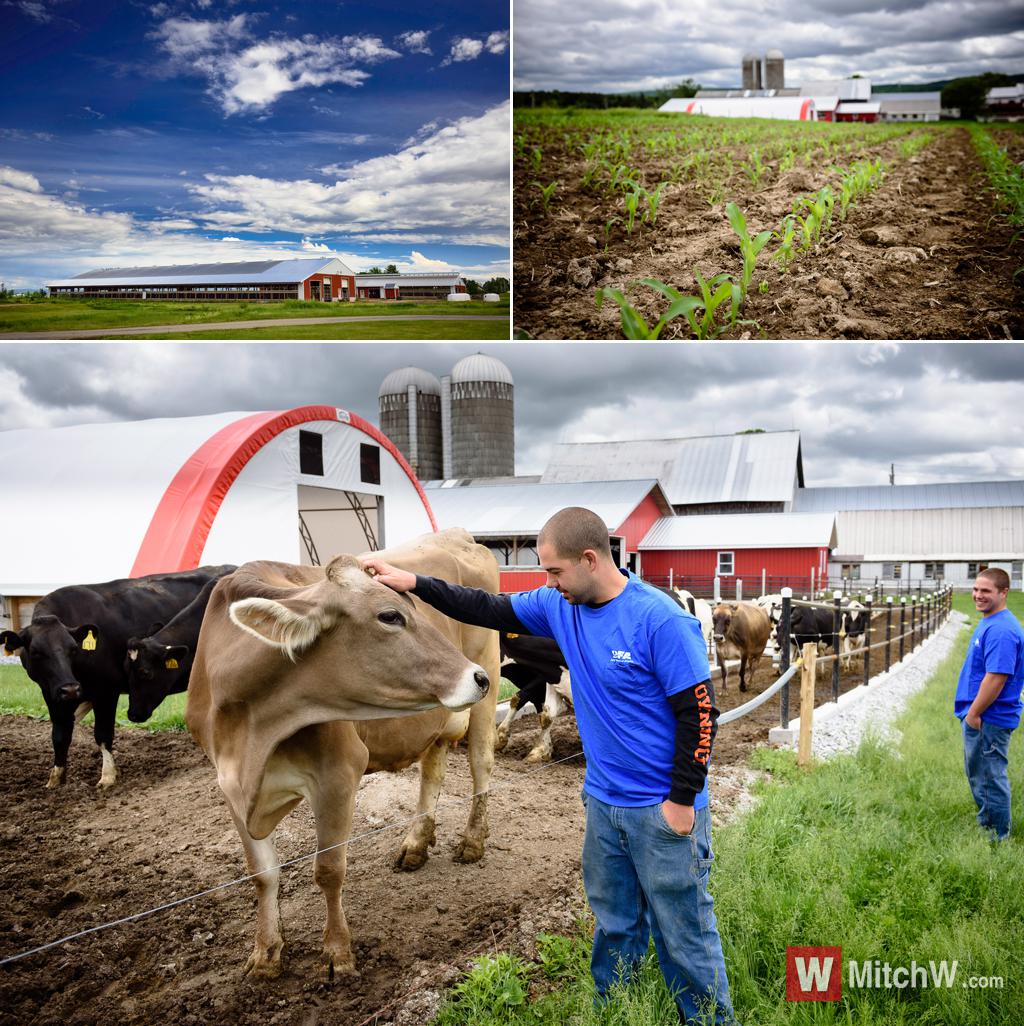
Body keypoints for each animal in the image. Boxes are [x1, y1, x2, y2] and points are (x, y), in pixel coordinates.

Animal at [189, 533, 504, 980]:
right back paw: (416, 843)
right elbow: (262, 874)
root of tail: (458, 535)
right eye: (390, 616)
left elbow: (329, 870)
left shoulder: (338, 772)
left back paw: (473, 841)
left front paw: (338, 953)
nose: (475, 676)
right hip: (437, 721)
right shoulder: (228, 782)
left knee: (481, 765)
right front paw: (266, 954)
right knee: (433, 768)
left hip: (487, 683)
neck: (254, 734)